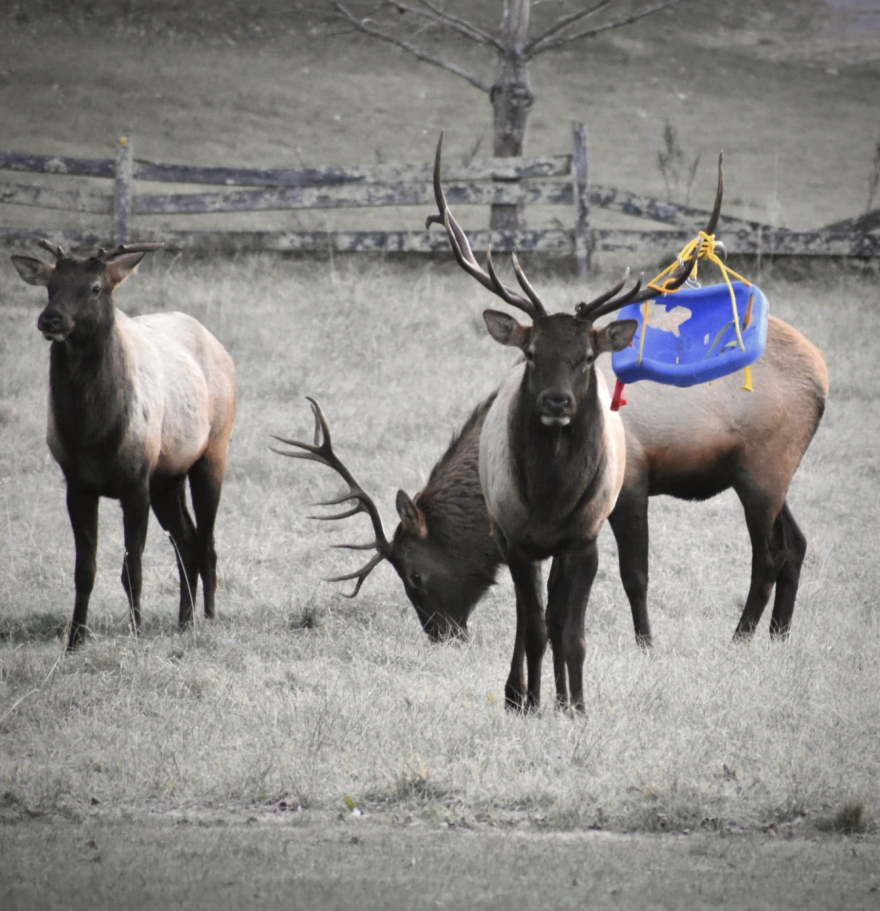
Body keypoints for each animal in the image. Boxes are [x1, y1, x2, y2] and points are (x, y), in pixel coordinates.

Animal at [10, 240, 237, 650]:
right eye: (51, 285)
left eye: (96, 287)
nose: (50, 320)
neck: (93, 435)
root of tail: (218, 345)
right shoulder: (77, 483)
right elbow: (85, 568)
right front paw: (75, 639)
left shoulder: (136, 481)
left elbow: (132, 567)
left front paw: (136, 634)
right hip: (168, 477)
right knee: (187, 542)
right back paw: (184, 621)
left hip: (213, 450)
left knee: (207, 541)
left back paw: (209, 618)